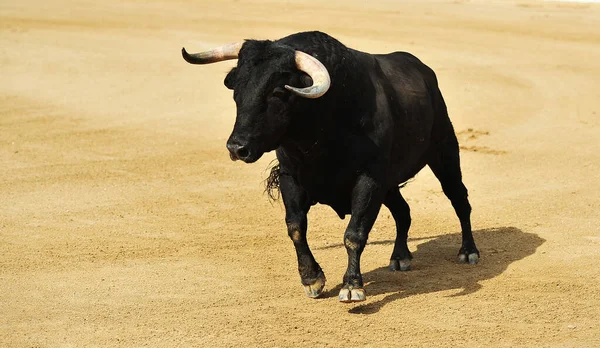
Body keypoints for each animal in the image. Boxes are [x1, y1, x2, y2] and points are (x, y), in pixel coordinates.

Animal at [180, 30, 480, 302]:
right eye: (238, 91)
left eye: (276, 92)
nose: (237, 148)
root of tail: (424, 72)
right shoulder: (291, 177)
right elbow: (295, 227)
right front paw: (312, 279)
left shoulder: (369, 180)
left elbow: (354, 234)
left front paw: (352, 286)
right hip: (390, 182)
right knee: (403, 211)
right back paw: (400, 257)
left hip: (444, 152)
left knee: (459, 199)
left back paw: (468, 252)